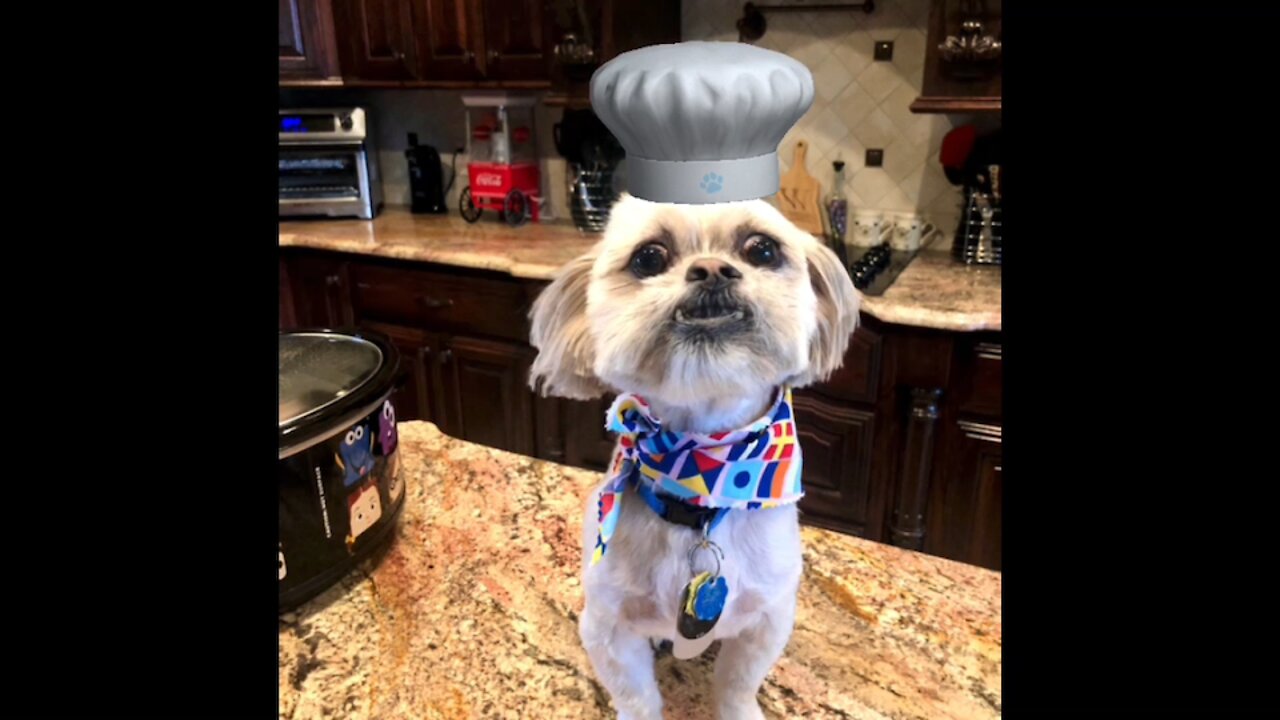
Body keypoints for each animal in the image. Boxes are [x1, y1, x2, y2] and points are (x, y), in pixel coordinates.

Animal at [529, 193, 860, 712]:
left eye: (762, 249)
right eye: (649, 257)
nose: (711, 270)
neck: (701, 481)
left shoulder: (767, 619)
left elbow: (737, 683)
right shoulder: (608, 627)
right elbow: (637, 696)